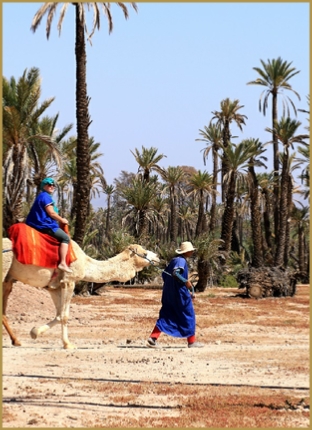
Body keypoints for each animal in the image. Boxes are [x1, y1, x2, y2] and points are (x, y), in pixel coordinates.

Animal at [1, 239, 158, 350]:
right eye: (144, 253)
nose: (157, 257)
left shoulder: (53, 287)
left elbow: (59, 315)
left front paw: (34, 332)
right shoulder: (69, 281)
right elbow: (64, 315)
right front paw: (68, 344)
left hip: (8, 279)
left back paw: (16, 341)